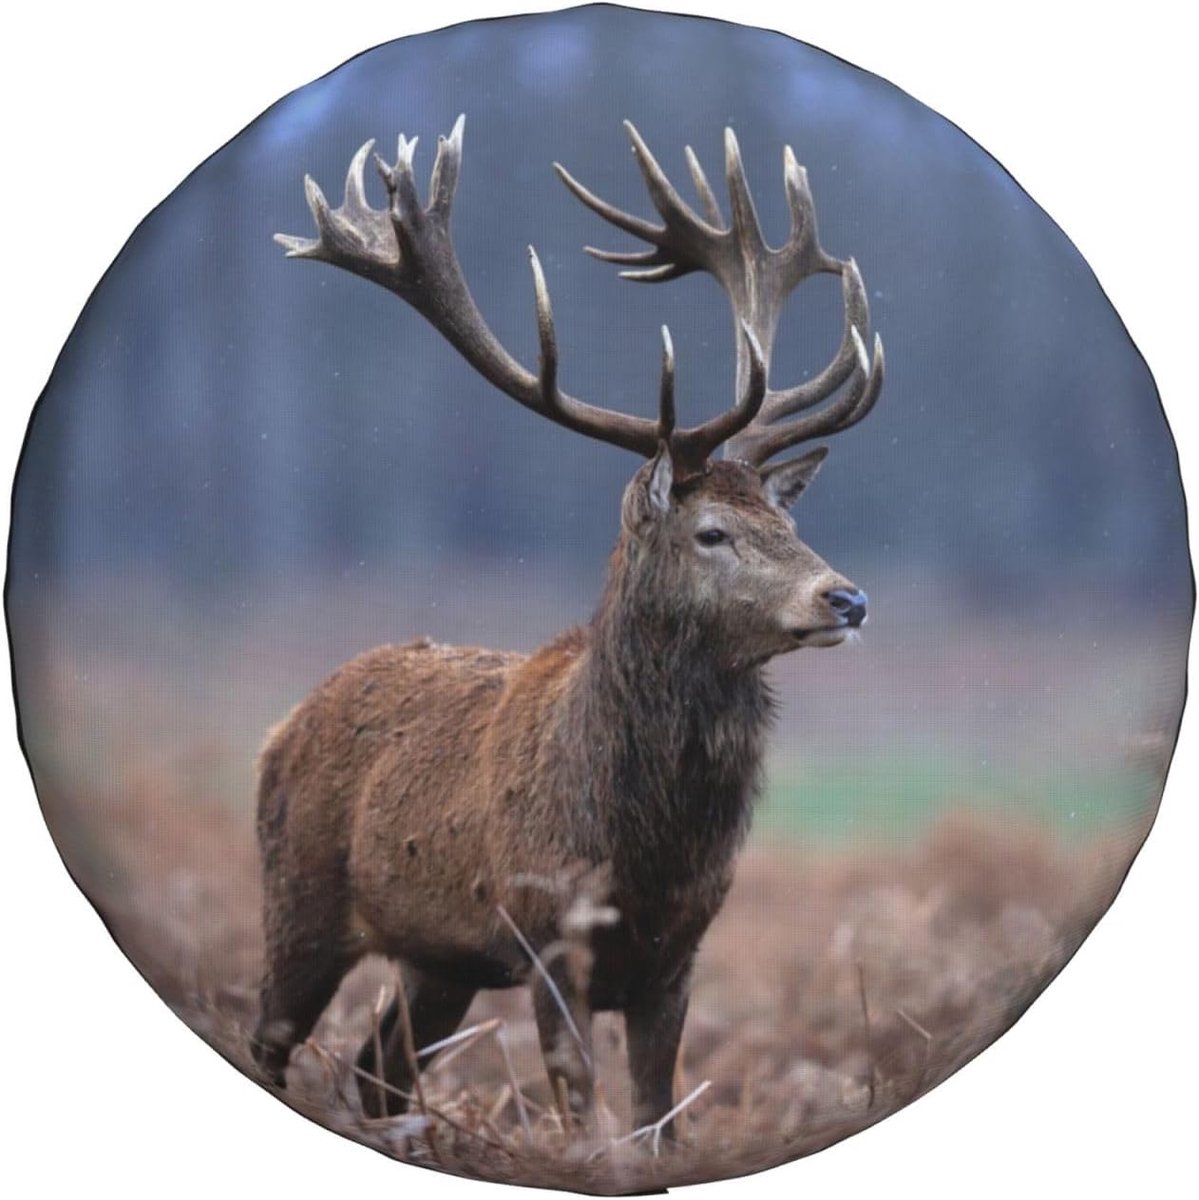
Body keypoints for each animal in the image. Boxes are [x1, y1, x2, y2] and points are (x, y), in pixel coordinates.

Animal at [251, 115, 883, 1140]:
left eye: (788, 523)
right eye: (711, 532)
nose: (846, 599)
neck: (643, 853)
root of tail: (285, 725)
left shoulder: (677, 954)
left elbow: (657, 1121)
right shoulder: (546, 935)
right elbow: (584, 1121)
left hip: (440, 961)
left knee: (376, 1071)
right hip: (299, 895)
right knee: (269, 1036)